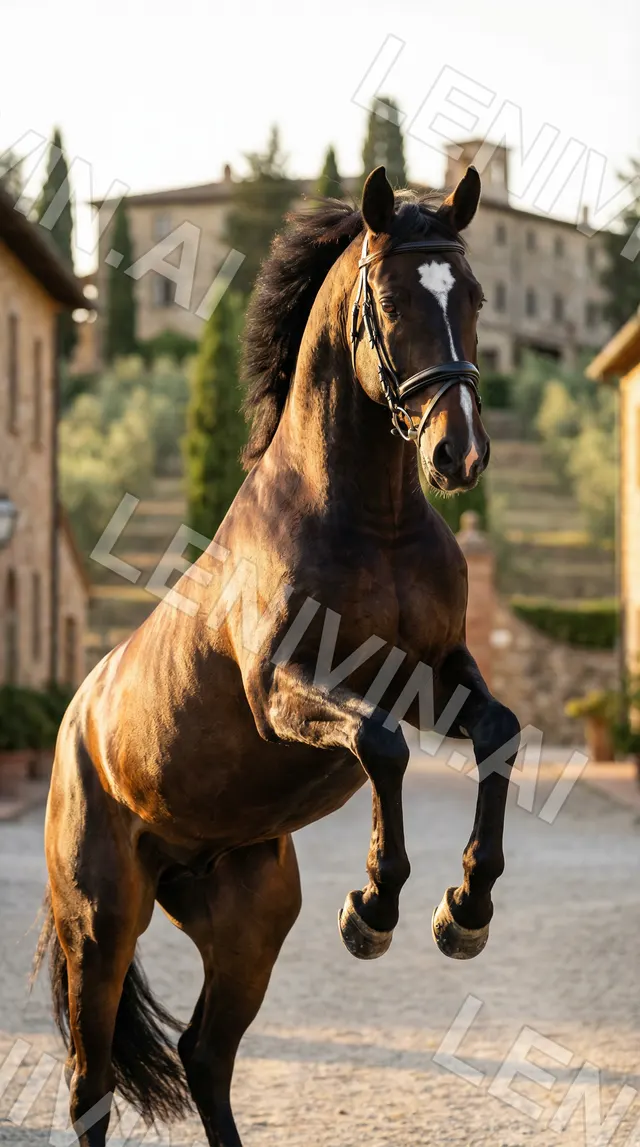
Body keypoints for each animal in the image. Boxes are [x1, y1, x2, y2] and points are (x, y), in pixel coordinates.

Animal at [35, 164, 520, 1147]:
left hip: (248, 920)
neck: (369, 519)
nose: (459, 454)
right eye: (389, 300)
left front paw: (464, 913)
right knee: (90, 1081)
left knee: (204, 1055)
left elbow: (500, 734)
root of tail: (76, 720)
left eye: (474, 295)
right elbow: (382, 746)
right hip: (100, 922)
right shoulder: (287, 691)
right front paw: (374, 908)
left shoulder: (438, 673)